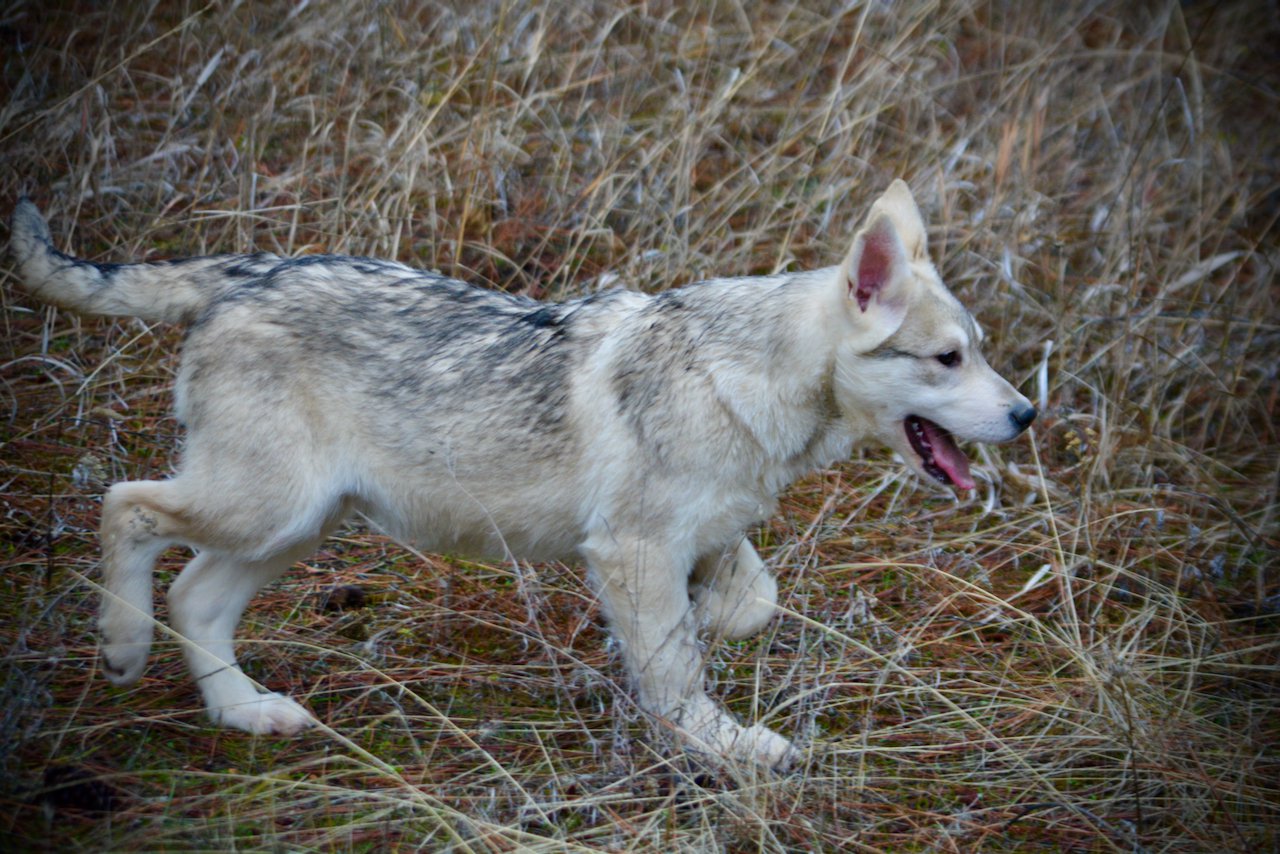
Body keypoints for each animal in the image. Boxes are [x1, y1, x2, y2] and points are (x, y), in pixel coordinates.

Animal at [7, 184, 1029, 773]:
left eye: (979, 352)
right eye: (947, 359)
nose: (1026, 415)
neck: (748, 377)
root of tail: (242, 273)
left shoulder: (700, 537)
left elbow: (745, 606)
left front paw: (694, 639)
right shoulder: (632, 548)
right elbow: (678, 670)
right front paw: (725, 743)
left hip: (297, 525)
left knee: (196, 596)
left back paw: (244, 711)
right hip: (266, 510)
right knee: (126, 508)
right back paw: (123, 645)